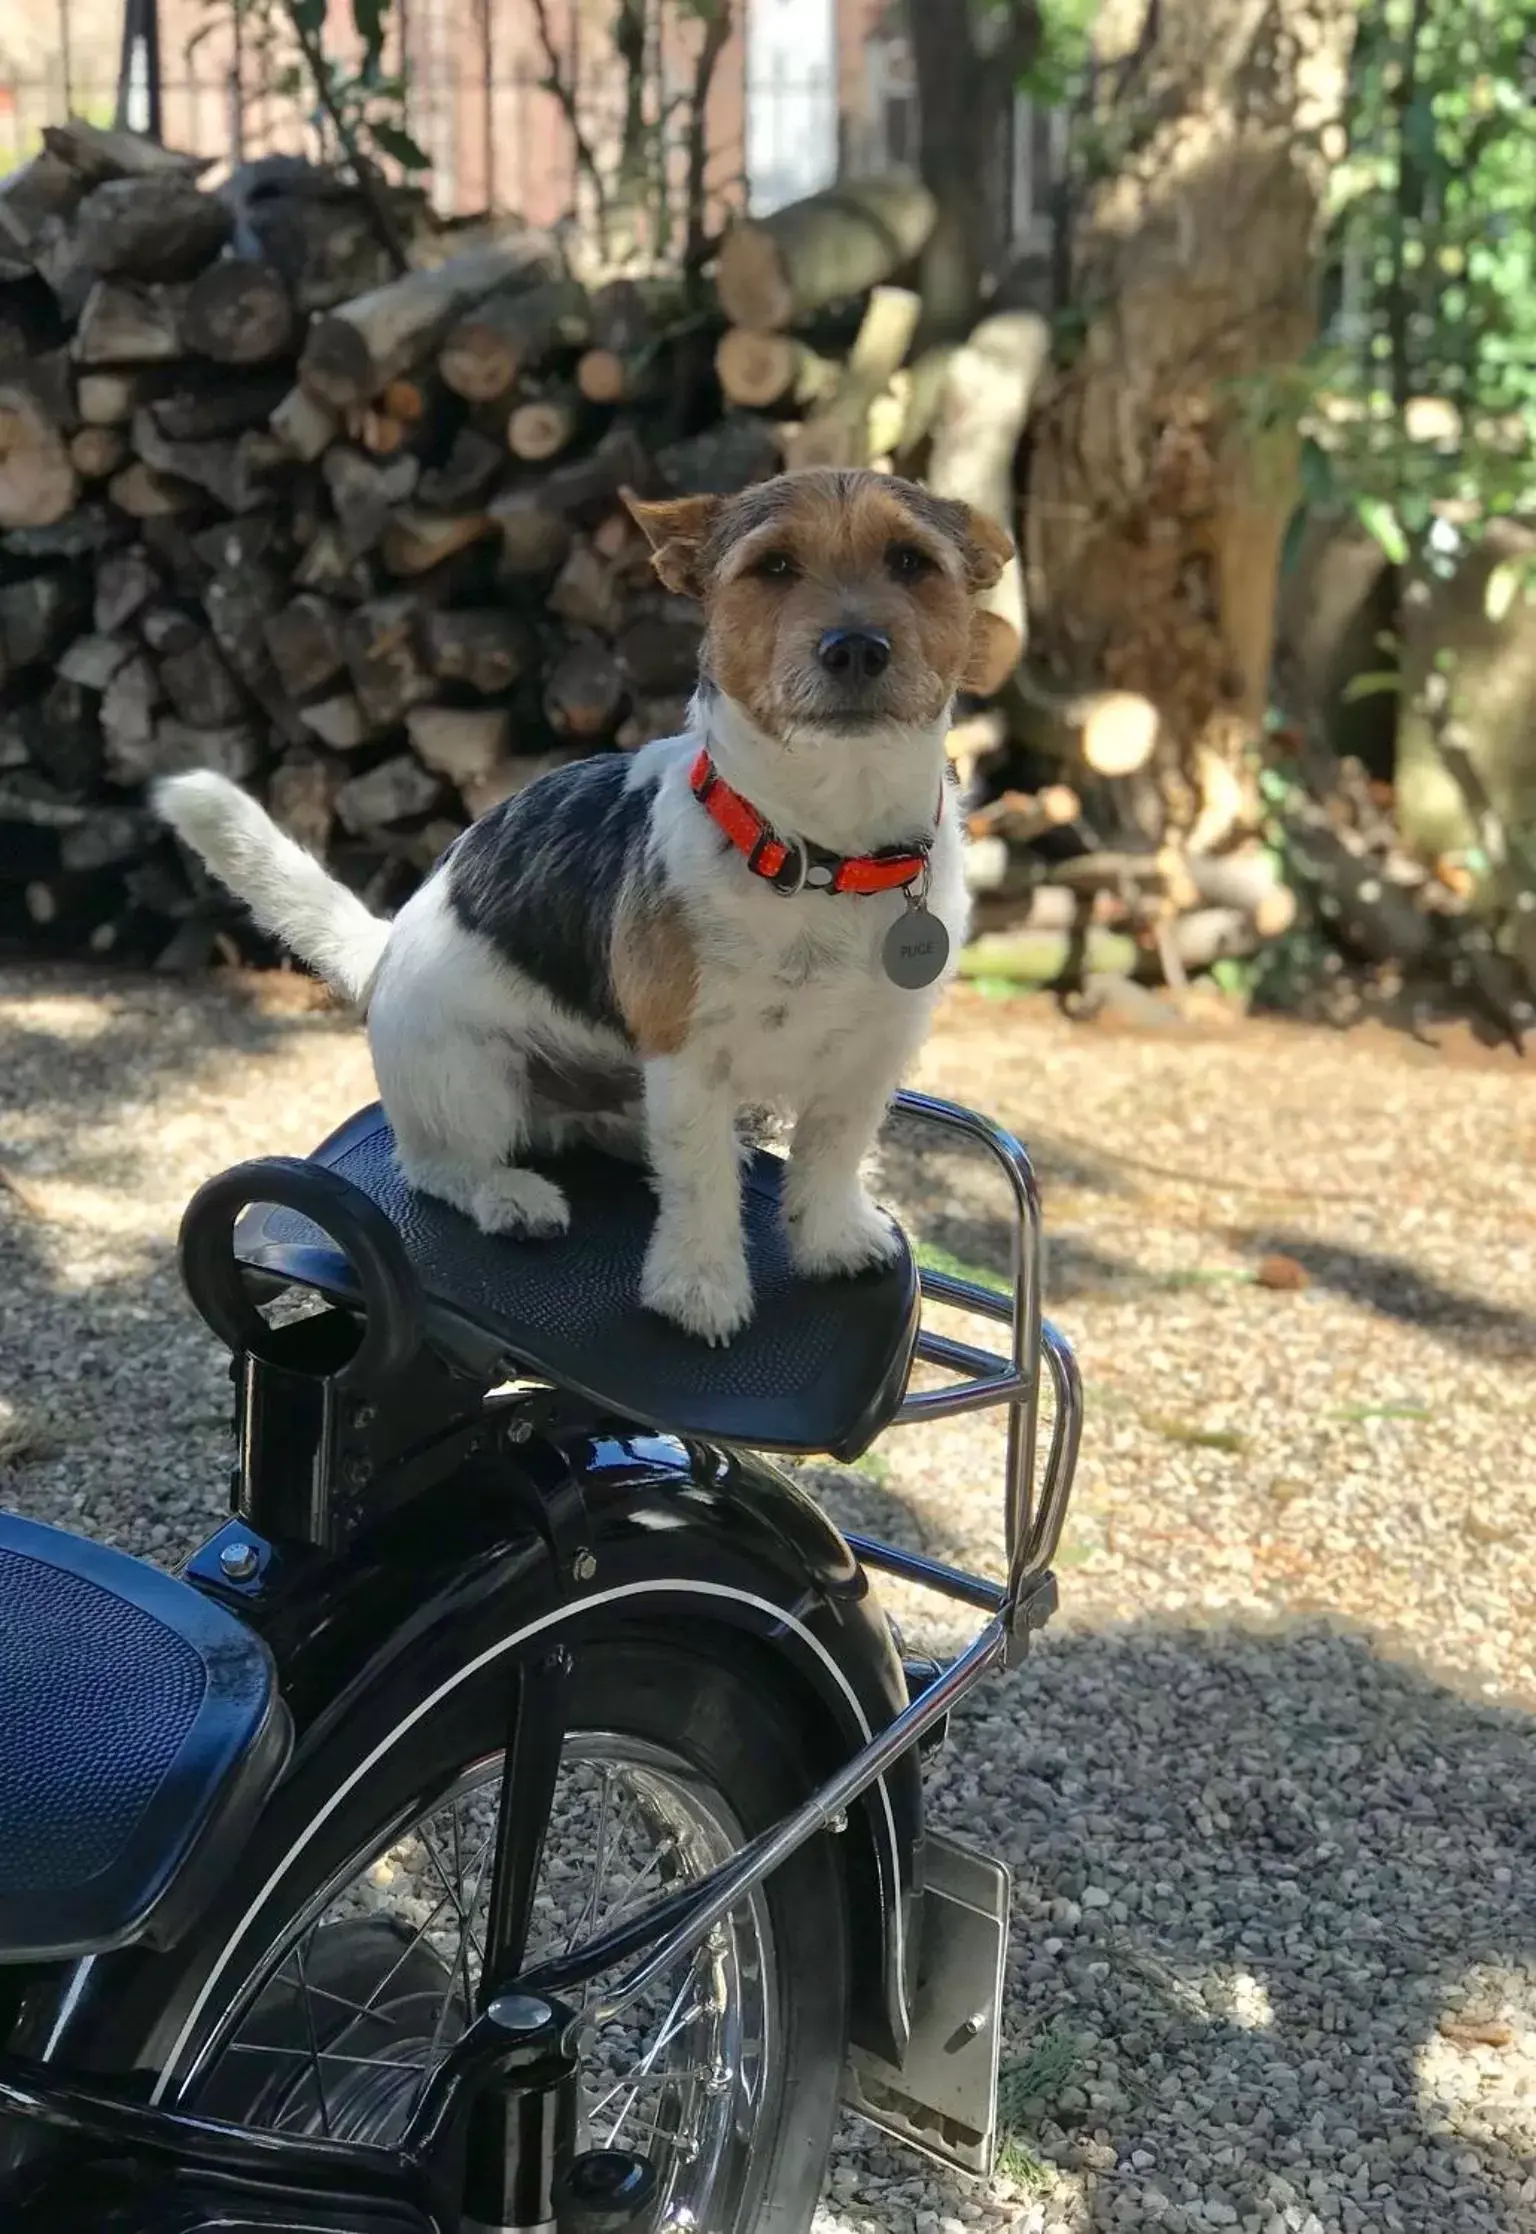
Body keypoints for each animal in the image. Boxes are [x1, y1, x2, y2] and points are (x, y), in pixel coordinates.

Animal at [161, 469, 1013, 1340]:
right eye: (773, 567)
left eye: (910, 561)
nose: (856, 647)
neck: (823, 852)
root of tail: (386, 945)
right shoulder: (690, 1056)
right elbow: (700, 1184)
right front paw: (699, 1288)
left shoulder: (871, 1054)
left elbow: (832, 1152)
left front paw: (832, 1239)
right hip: (468, 1079)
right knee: (439, 1165)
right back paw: (510, 1196)